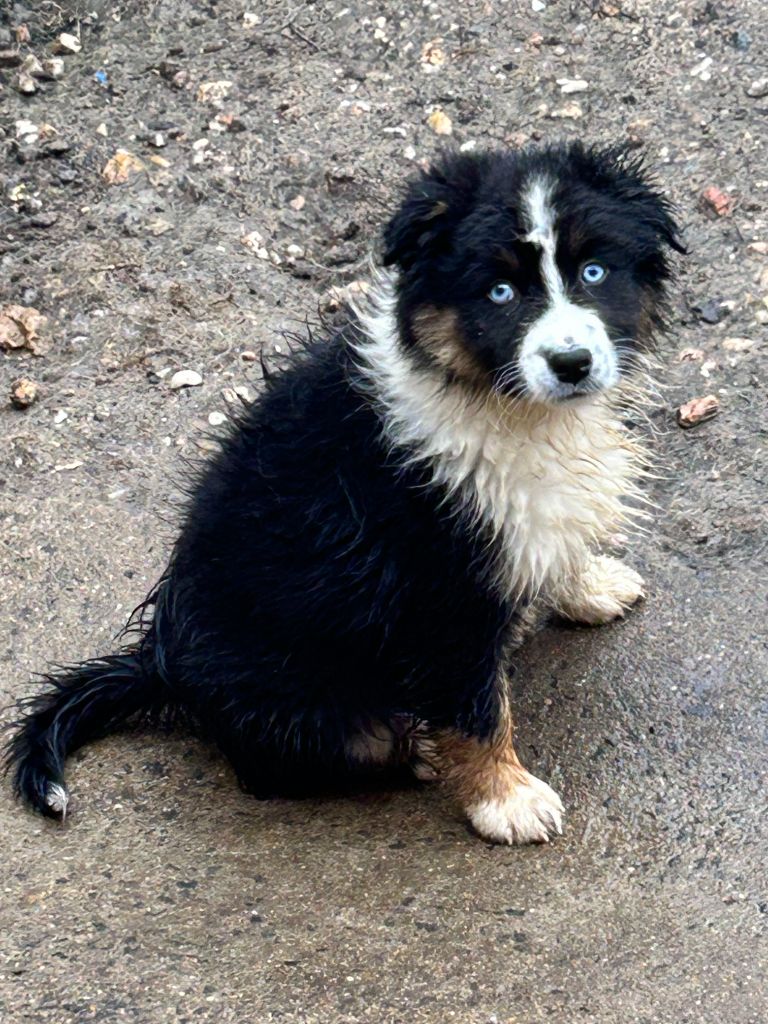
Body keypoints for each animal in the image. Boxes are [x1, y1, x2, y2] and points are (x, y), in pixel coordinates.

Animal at [6, 146, 684, 847]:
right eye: (499, 292)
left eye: (594, 272)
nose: (572, 364)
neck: (501, 401)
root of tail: (161, 665)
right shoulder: (441, 590)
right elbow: (475, 711)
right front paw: (505, 799)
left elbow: (556, 537)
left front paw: (589, 586)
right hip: (314, 705)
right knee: (293, 764)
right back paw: (418, 749)